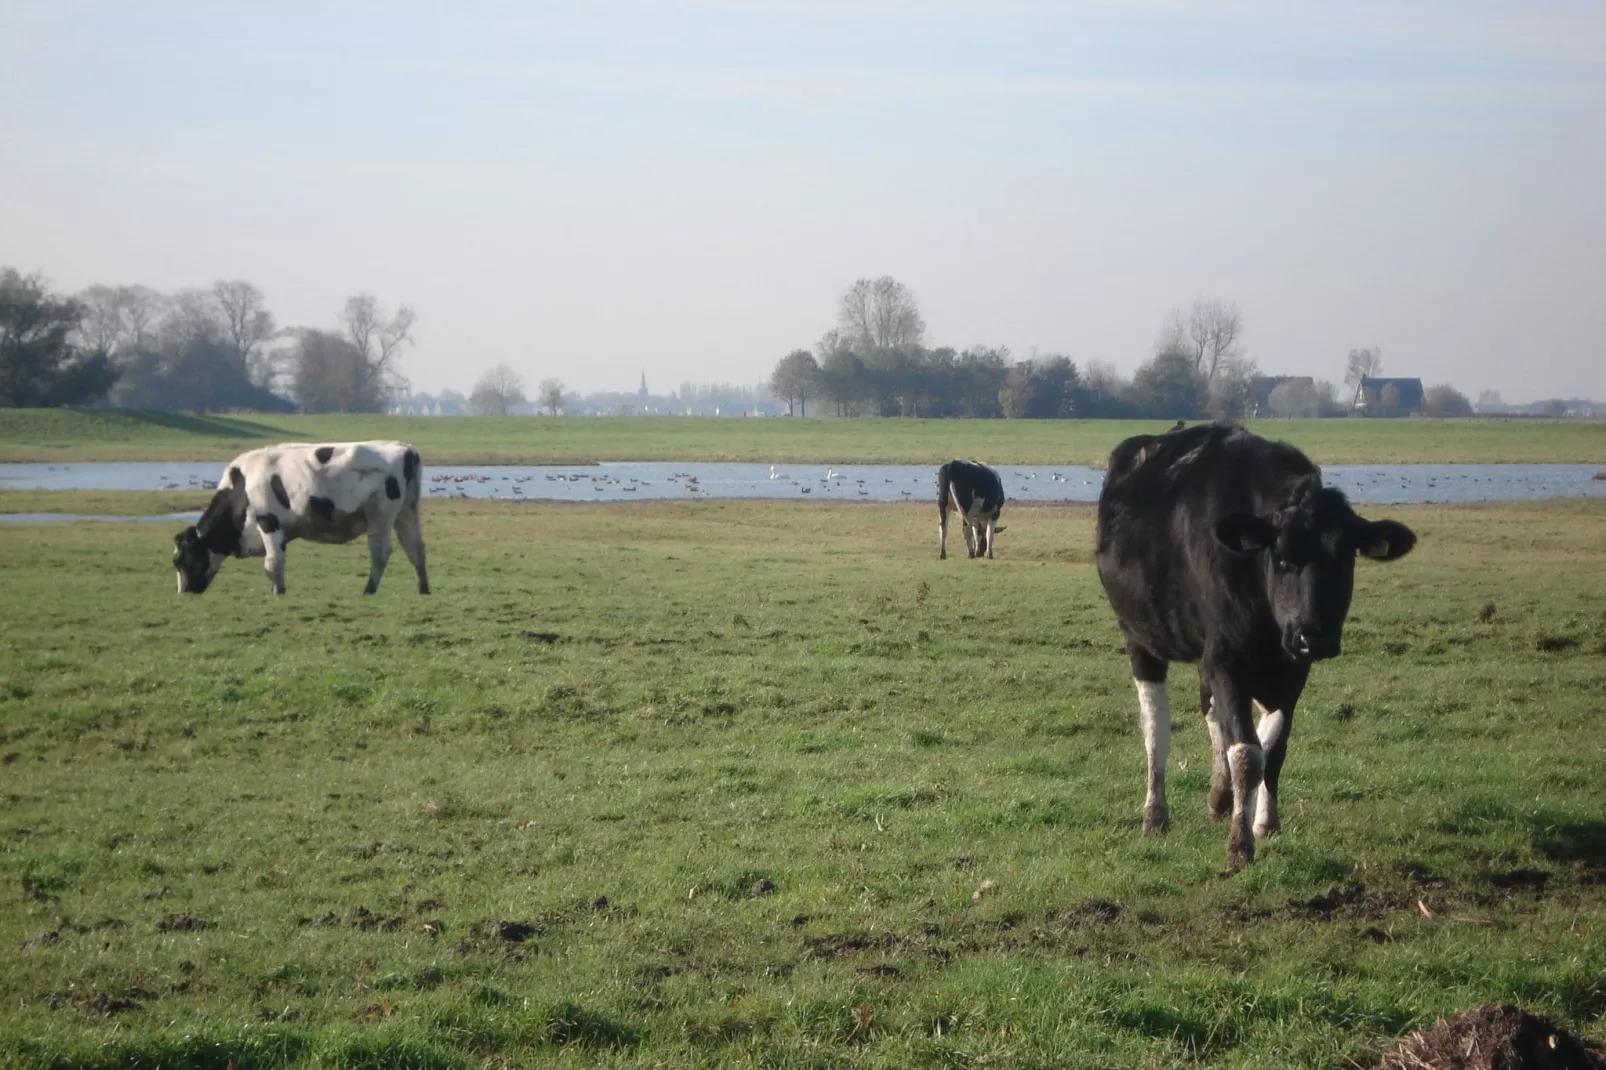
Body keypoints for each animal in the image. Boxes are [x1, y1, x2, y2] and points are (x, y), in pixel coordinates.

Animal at [173, 436, 430, 594]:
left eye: (180, 560)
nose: (184, 591)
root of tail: (405, 449)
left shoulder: (268, 522)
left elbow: (272, 562)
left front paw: (277, 593)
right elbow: (276, 562)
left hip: (380, 516)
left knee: (381, 552)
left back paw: (369, 590)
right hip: (406, 512)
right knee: (415, 547)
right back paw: (423, 589)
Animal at [1092, 424, 1419, 867]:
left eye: (1346, 558)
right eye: (1280, 558)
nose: (1313, 634)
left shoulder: (1291, 670)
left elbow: (1272, 748)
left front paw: (1263, 822)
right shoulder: (1226, 660)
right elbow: (1247, 753)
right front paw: (1239, 846)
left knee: (1211, 711)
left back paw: (1219, 795)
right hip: (1141, 640)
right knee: (1155, 727)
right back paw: (1155, 814)